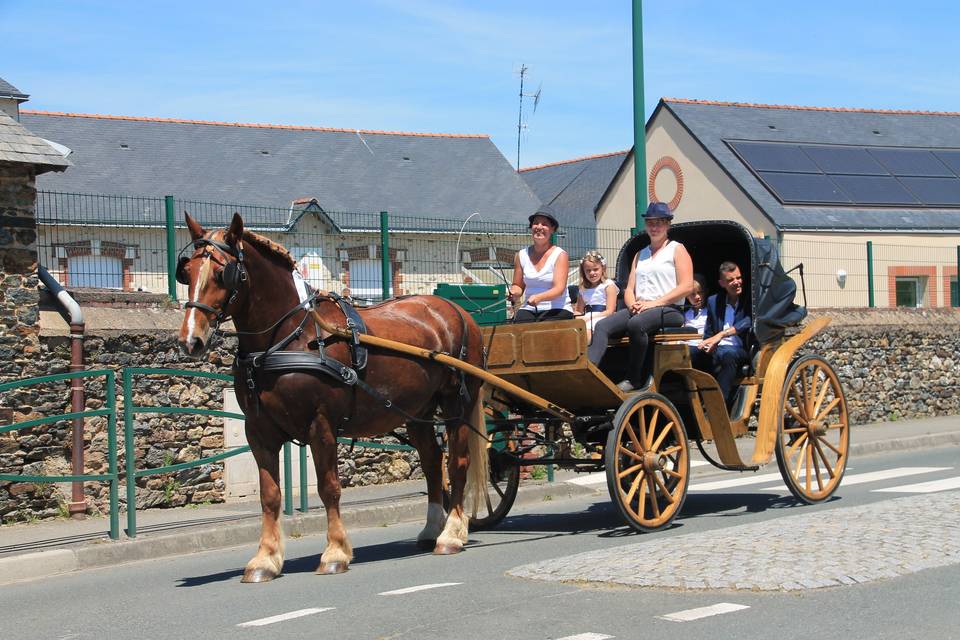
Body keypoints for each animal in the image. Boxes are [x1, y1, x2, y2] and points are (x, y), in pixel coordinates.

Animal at [175, 212, 488, 584]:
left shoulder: (320, 425)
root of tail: (458, 311)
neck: (289, 338)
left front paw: (335, 552)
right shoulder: (259, 431)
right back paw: (432, 528)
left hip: (458, 404)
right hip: (416, 412)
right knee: (431, 462)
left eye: (223, 272)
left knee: (457, 463)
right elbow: (269, 495)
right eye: (187, 271)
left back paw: (452, 534)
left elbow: (329, 488)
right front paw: (265, 559)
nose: (190, 340)